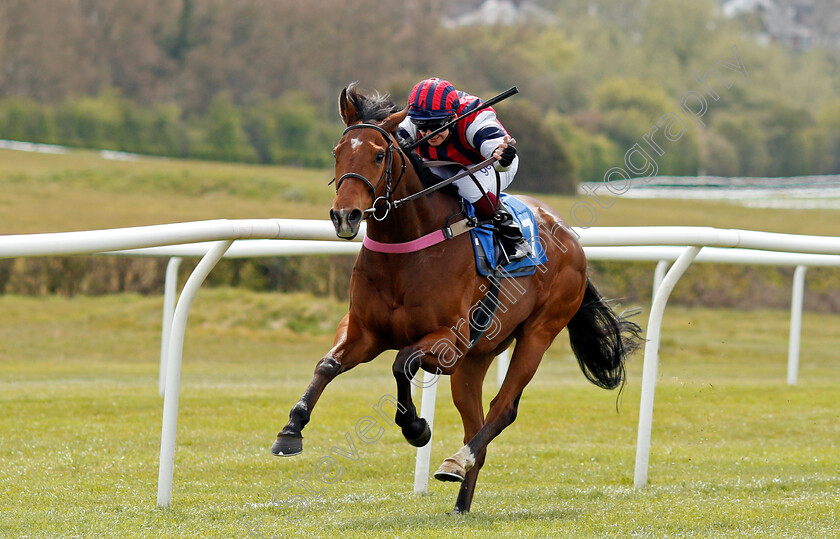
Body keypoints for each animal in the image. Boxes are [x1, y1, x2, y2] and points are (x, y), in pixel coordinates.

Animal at [272, 84, 640, 516]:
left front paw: (416, 427)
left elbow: (402, 362)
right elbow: (327, 365)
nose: (344, 216)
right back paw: (461, 502)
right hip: (475, 360)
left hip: (538, 333)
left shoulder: (450, 340)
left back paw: (455, 460)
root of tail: (569, 235)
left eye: (379, 155)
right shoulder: (365, 331)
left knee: (502, 409)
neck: (405, 249)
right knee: (476, 422)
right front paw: (290, 430)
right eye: (337, 152)